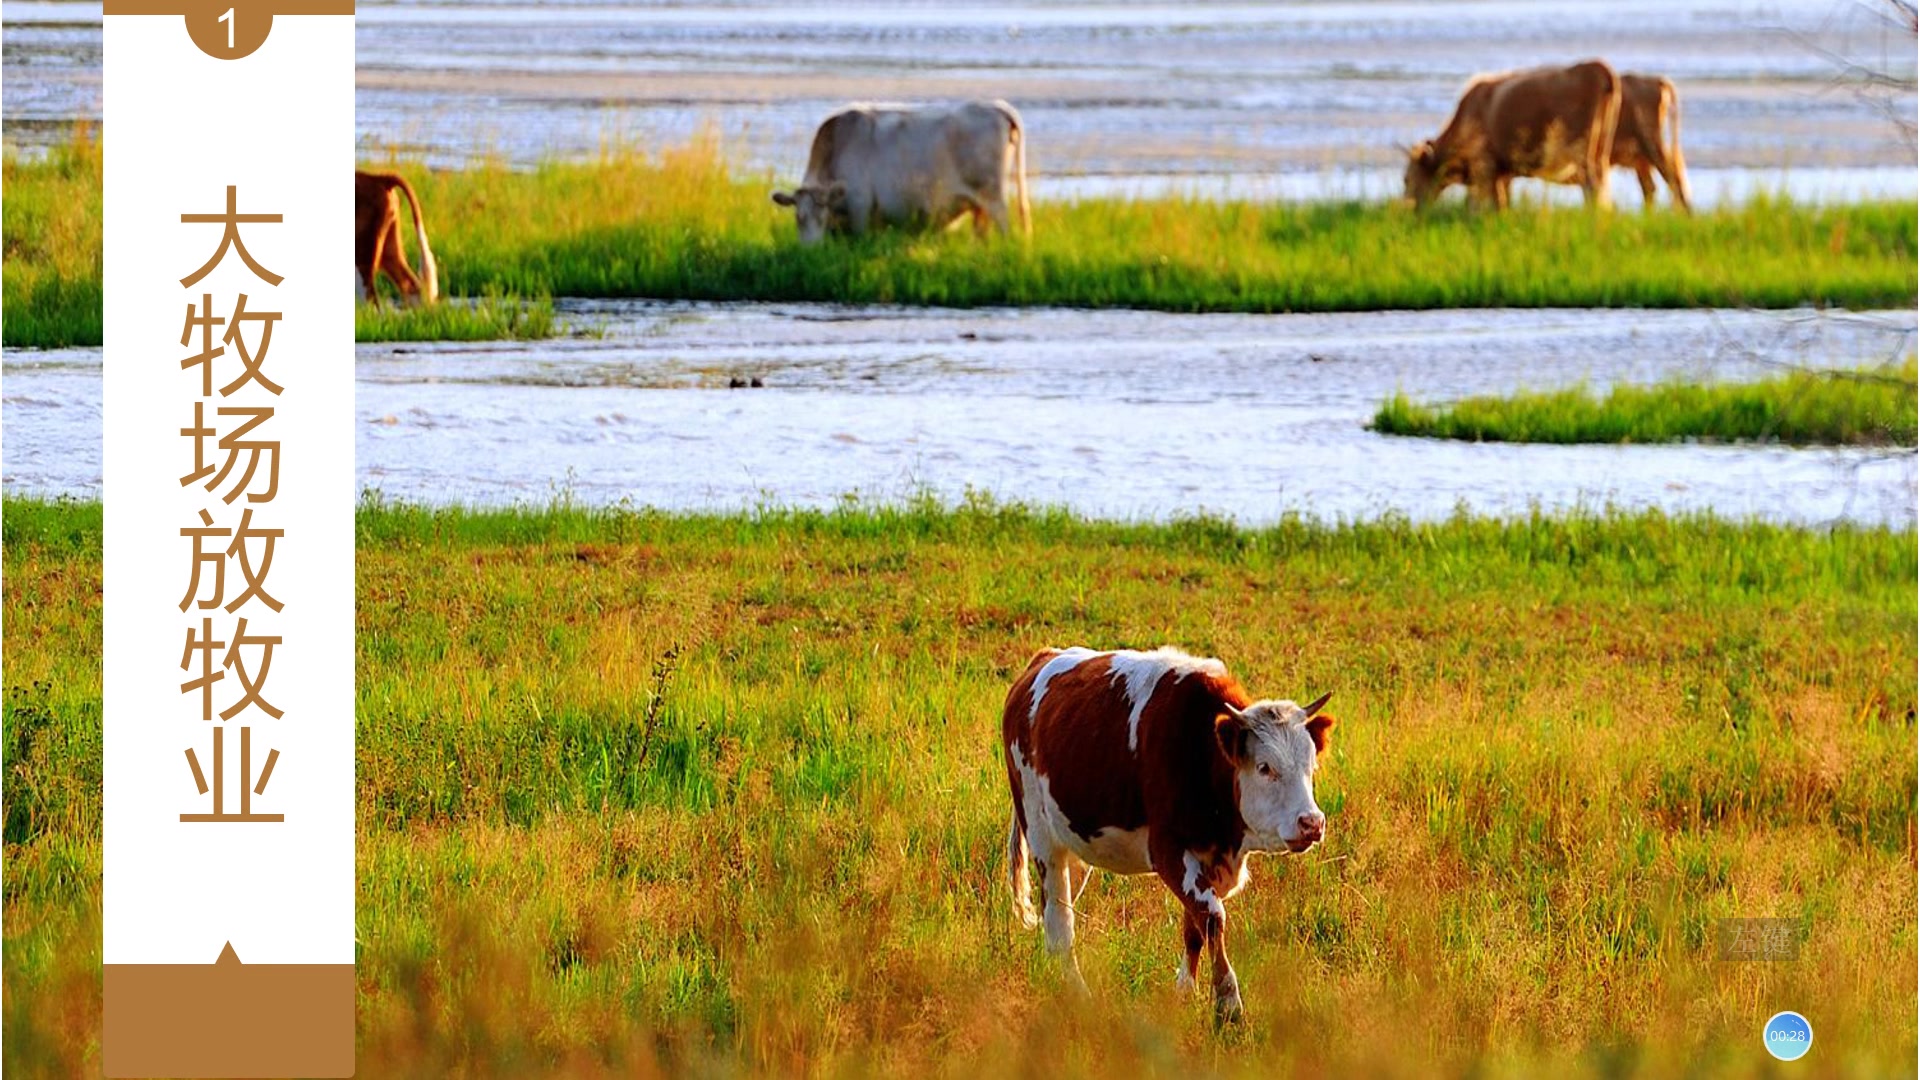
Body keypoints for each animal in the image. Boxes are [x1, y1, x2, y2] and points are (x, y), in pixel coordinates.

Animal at [768, 99, 1029, 243]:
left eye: (822, 217)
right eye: (798, 218)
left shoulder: (860, 207)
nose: (810, 251)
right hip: (979, 205)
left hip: (994, 198)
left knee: (1005, 227)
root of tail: (996, 106)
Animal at [1006, 641, 1336, 1022]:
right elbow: (1212, 917)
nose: (1312, 823)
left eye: (1311, 766)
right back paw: (1078, 995)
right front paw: (1228, 1004)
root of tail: (1043, 658)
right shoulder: (1167, 850)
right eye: (1265, 767)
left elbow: (1194, 927)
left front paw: (1184, 994)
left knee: (1056, 913)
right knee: (1059, 921)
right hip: (1041, 833)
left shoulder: (1211, 859)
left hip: (1074, 842)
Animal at [1405, 59, 1628, 210]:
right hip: (1601, 151)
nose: (1409, 209)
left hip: (1581, 152)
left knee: (1592, 185)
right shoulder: (1503, 173)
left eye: (1407, 179)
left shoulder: (1484, 167)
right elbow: (1503, 202)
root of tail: (1596, 66)